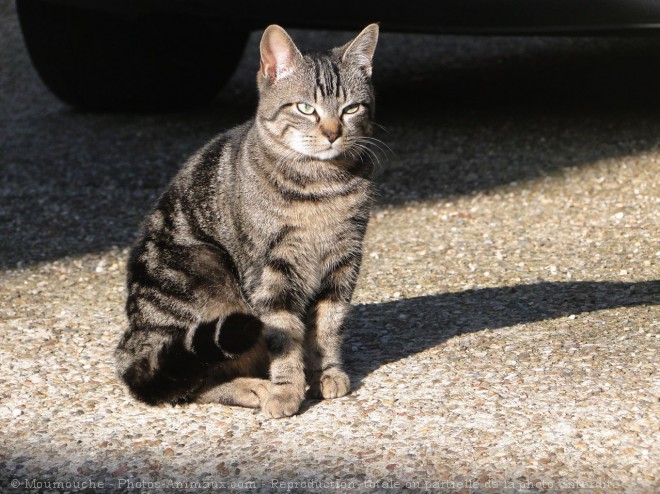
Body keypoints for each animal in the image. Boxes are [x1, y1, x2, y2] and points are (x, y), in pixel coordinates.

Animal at [116, 22, 378, 416]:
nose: (333, 133)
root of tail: (131, 348)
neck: (321, 186)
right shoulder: (270, 269)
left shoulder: (344, 259)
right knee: (188, 383)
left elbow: (329, 326)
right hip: (208, 274)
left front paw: (327, 373)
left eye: (351, 108)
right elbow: (284, 334)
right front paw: (287, 390)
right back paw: (257, 388)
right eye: (306, 108)